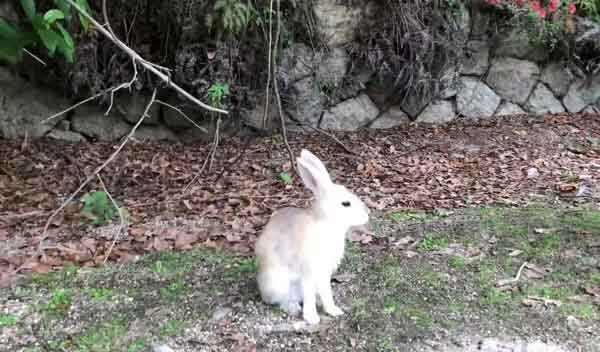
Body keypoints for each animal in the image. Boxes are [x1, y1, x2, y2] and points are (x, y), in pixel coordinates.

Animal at [254, 148, 370, 324]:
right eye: (346, 203)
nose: (366, 215)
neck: (326, 222)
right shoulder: (308, 271)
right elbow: (308, 294)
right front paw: (312, 318)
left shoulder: (324, 272)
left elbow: (326, 291)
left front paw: (334, 310)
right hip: (278, 283)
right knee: (282, 300)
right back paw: (293, 308)